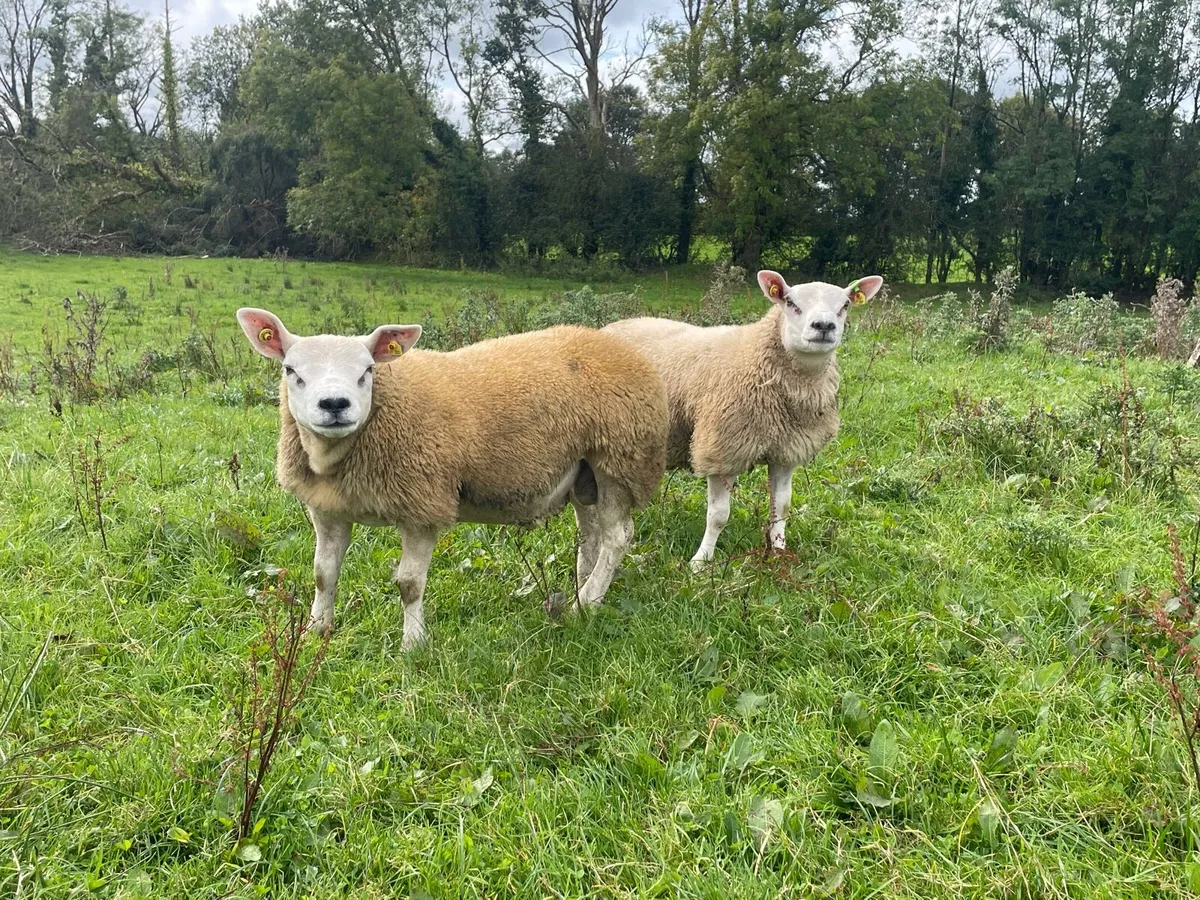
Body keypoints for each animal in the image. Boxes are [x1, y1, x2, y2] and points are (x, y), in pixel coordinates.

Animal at [235, 307, 668, 649]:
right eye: (291, 371)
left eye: (367, 371)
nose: (335, 404)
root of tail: (620, 346)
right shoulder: (327, 509)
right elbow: (323, 574)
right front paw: (316, 630)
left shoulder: (422, 505)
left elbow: (409, 584)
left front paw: (413, 646)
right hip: (584, 472)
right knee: (591, 536)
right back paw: (583, 589)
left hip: (620, 457)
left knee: (617, 537)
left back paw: (586, 602)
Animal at [604, 271, 882, 568]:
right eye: (791, 302)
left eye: (845, 305)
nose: (824, 326)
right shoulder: (723, 449)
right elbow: (718, 516)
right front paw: (701, 561)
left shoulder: (786, 451)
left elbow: (782, 506)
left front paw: (779, 552)